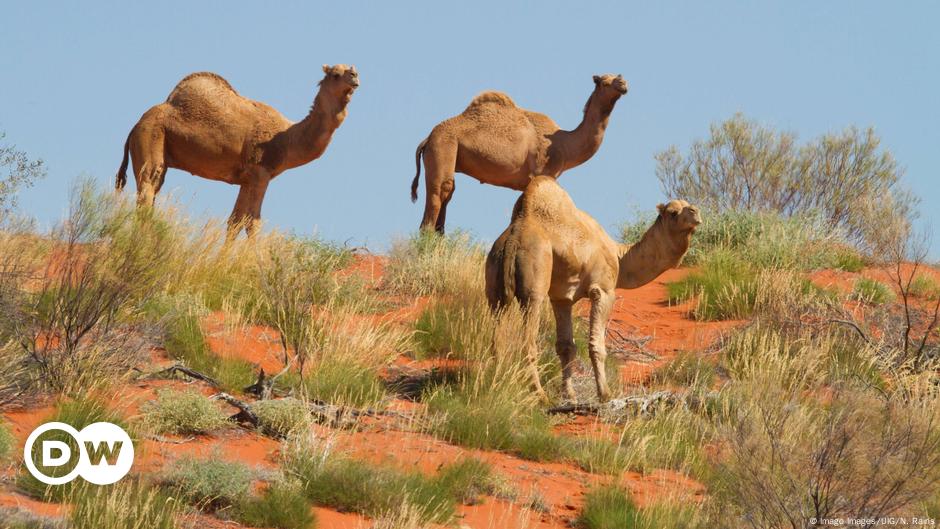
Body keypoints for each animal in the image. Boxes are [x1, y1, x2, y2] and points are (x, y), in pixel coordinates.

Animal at [111, 64, 360, 235]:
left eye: (352, 70)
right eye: (336, 74)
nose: (355, 76)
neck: (287, 137)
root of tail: (135, 126)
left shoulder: (246, 179)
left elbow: (235, 221)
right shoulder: (261, 172)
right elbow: (253, 222)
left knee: (151, 193)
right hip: (150, 140)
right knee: (146, 191)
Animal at [410, 73, 624, 232]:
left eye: (617, 76)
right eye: (604, 81)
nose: (623, 83)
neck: (564, 143)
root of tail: (427, 139)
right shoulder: (542, 172)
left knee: (447, 197)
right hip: (443, 147)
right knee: (439, 195)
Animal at [484, 176, 696, 400]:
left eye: (687, 206)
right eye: (673, 212)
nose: (695, 212)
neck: (619, 256)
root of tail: (513, 239)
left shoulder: (562, 298)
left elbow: (566, 346)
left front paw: (569, 394)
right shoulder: (603, 290)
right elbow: (597, 345)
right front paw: (605, 393)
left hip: (494, 276)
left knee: (497, 336)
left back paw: (496, 385)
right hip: (534, 279)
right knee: (528, 338)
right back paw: (539, 394)